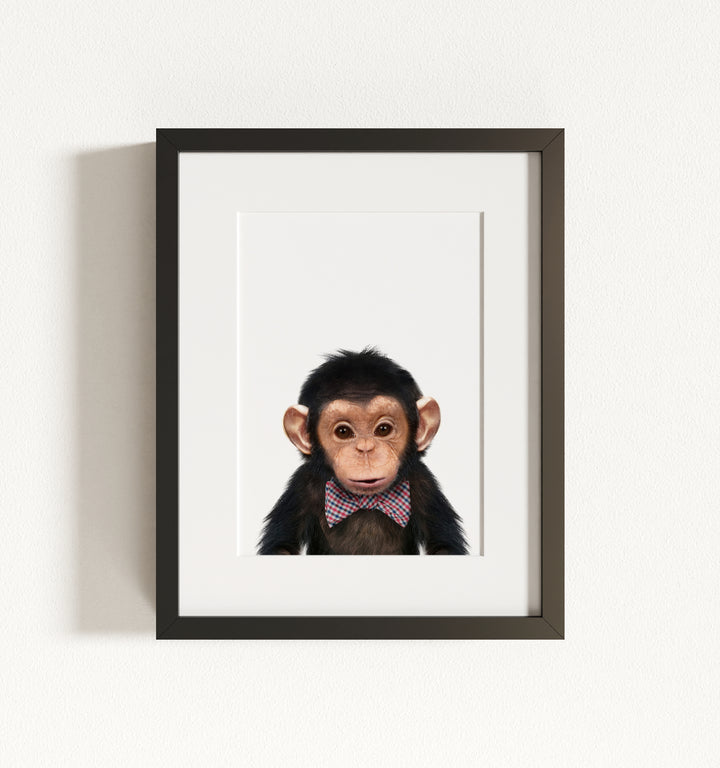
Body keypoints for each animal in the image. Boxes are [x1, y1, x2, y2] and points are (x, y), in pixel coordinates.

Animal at [257, 348, 468, 555]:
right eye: (343, 432)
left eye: (383, 429)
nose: (365, 449)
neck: (366, 500)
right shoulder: (301, 486)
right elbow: (282, 545)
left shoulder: (424, 484)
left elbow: (443, 545)